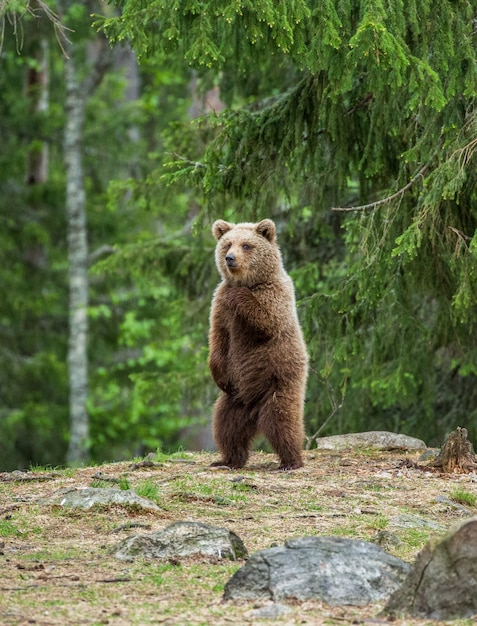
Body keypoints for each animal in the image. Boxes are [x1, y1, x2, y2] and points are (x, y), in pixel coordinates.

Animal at [209, 219, 308, 468]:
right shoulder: (219, 308)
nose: (230, 258)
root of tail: (253, 409)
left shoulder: (276, 294)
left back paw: (291, 460)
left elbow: (267, 320)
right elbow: (218, 338)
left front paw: (240, 296)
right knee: (226, 426)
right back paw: (227, 459)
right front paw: (217, 373)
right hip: (234, 399)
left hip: (278, 384)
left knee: (282, 421)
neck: (249, 282)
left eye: (246, 245)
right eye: (228, 244)